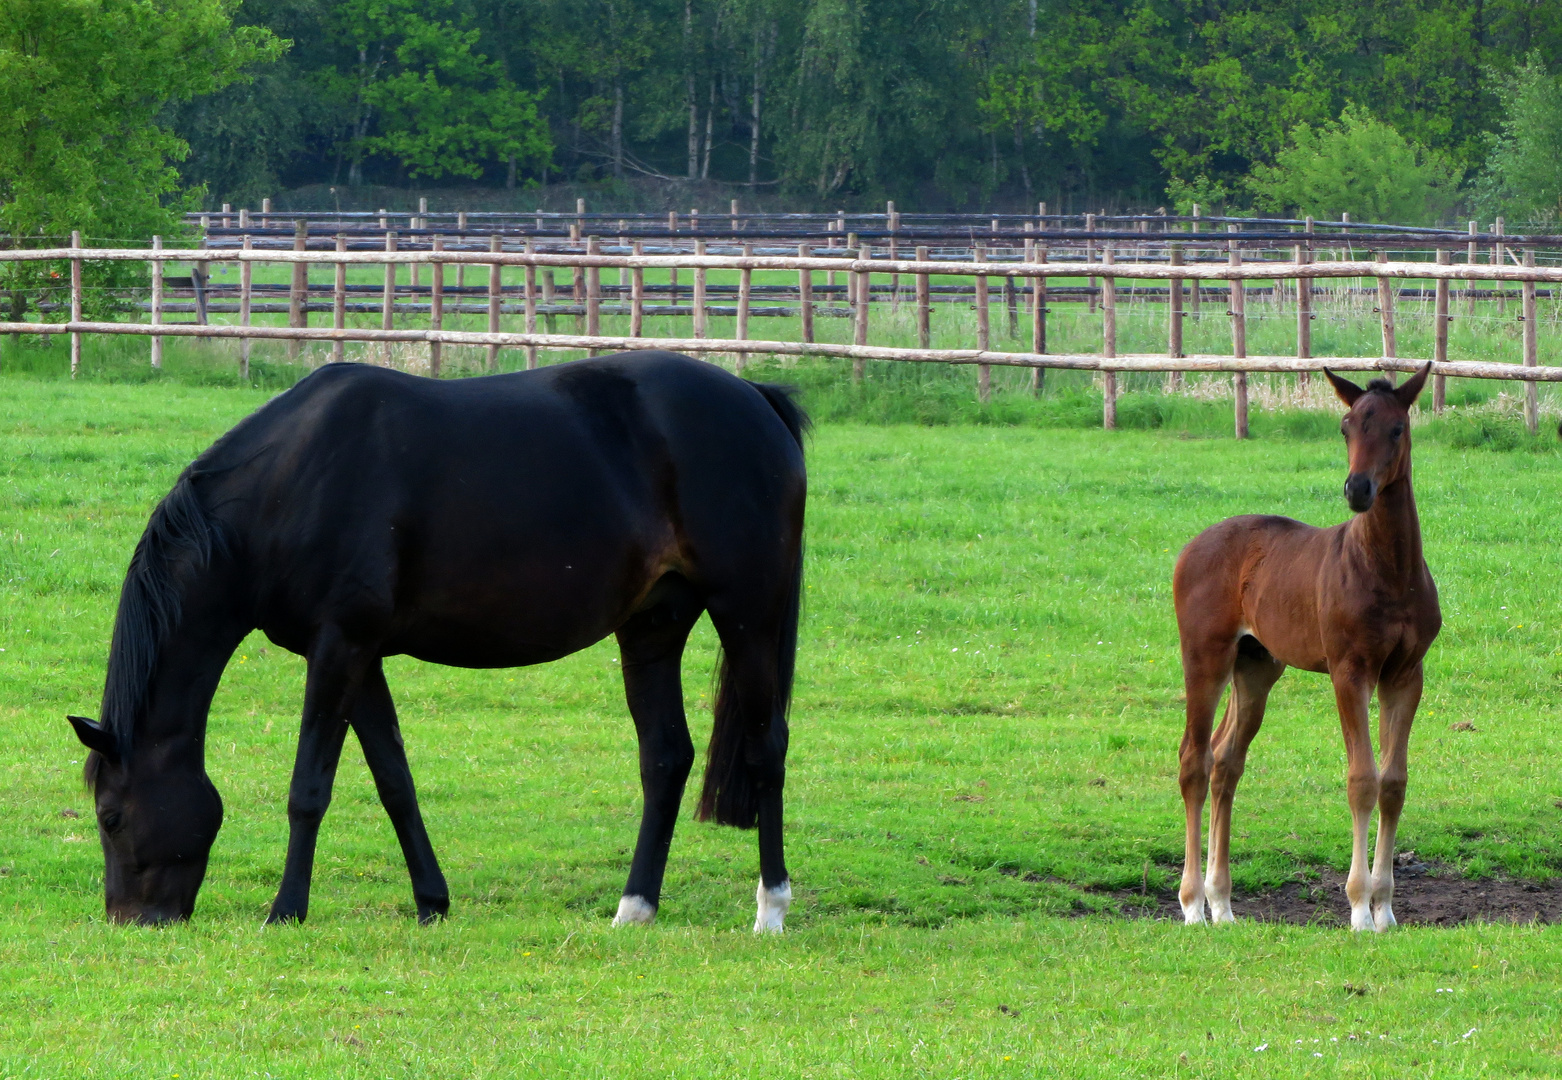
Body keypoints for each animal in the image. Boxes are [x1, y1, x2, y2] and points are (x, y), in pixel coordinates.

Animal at [67, 353, 812, 931]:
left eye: (111, 815)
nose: (134, 920)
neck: (289, 486)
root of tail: (756, 399)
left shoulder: (339, 648)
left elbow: (309, 787)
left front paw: (286, 909)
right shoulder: (358, 655)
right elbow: (395, 781)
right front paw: (431, 901)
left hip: (747, 615)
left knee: (767, 748)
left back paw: (771, 907)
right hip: (652, 628)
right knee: (664, 758)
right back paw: (635, 908)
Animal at [1174, 362, 1437, 931]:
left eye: (1397, 429)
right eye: (1345, 427)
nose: (1358, 488)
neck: (1389, 569)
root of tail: (1191, 547)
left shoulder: (1406, 674)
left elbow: (1393, 783)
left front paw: (1386, 909)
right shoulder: (1349, 670)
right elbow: (1362, 779)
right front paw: (1359, 908)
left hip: (1255, 668)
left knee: (1226, 762)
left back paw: (1222, 903)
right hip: (1205, 657)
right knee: (1194, 761)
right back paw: (1191, 905)